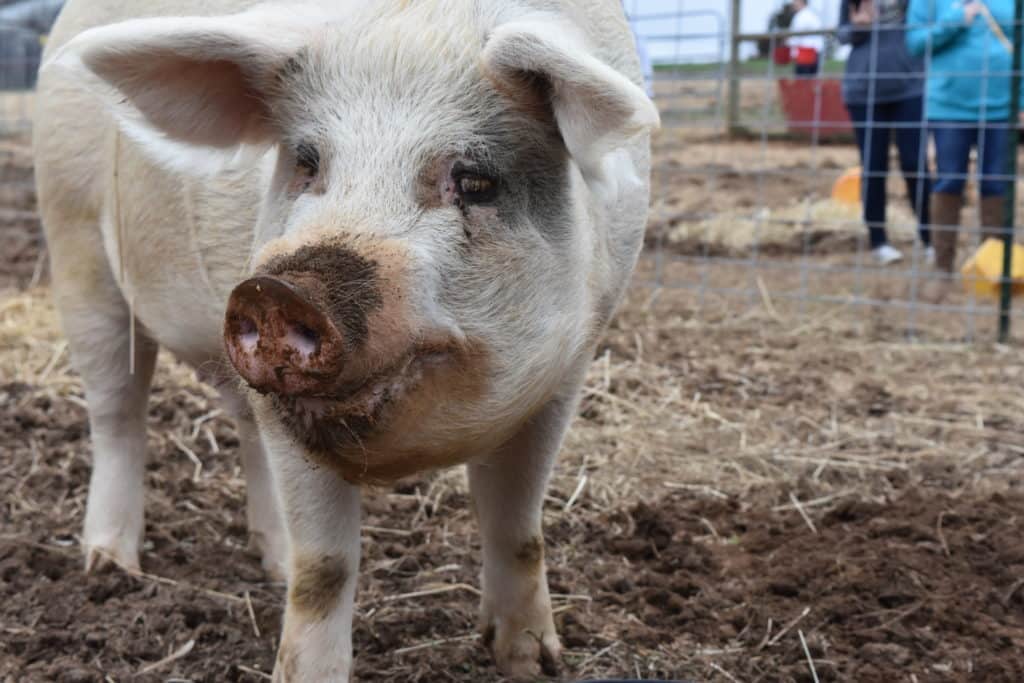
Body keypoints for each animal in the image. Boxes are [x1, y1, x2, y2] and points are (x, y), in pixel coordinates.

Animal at [34, 0, 655, 679]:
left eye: (474, 180)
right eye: (307, 163)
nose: (277, 291)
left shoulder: (571, 365)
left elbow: (518, 523)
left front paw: (532, 663)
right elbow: (325, 569)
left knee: (238, 426)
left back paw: (269, 564)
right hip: (74, 246)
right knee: (118, 411)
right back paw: (109, 567)